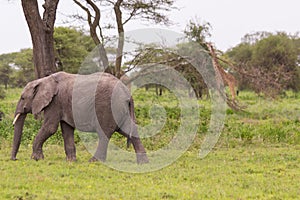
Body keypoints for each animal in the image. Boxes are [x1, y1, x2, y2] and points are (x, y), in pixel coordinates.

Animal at [11, 72, 149, 164]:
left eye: (22, 98)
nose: (14, 159)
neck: (44, 80)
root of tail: (127, 93)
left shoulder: (55, 102)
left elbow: (50, 128)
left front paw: (36, 159)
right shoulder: (63, 104)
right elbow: (66, 129)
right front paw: (71, 161)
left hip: (107, 106)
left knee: (104, 133)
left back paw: (93, 161)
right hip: (120, 108)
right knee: (128, 130)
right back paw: (143, 163)